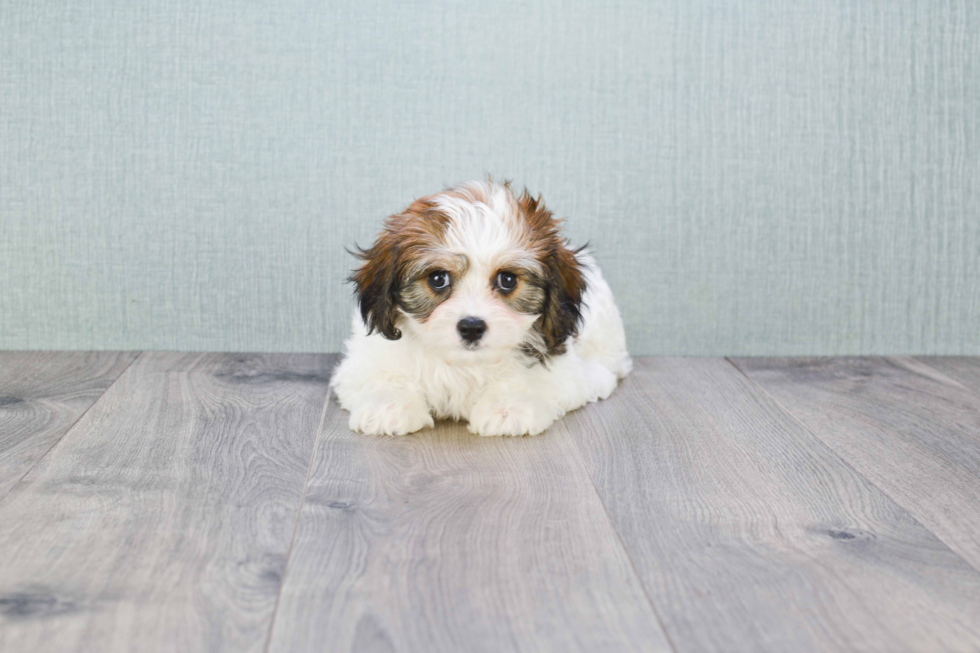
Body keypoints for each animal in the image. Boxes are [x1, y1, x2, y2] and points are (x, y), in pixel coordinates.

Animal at [334, 178, 632, 436]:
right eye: (438, 279)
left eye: (507, 280)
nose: (472, 327)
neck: (461, 363)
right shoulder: (363, 361)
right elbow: (381, 374)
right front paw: (389, 403)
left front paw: (508, 406)